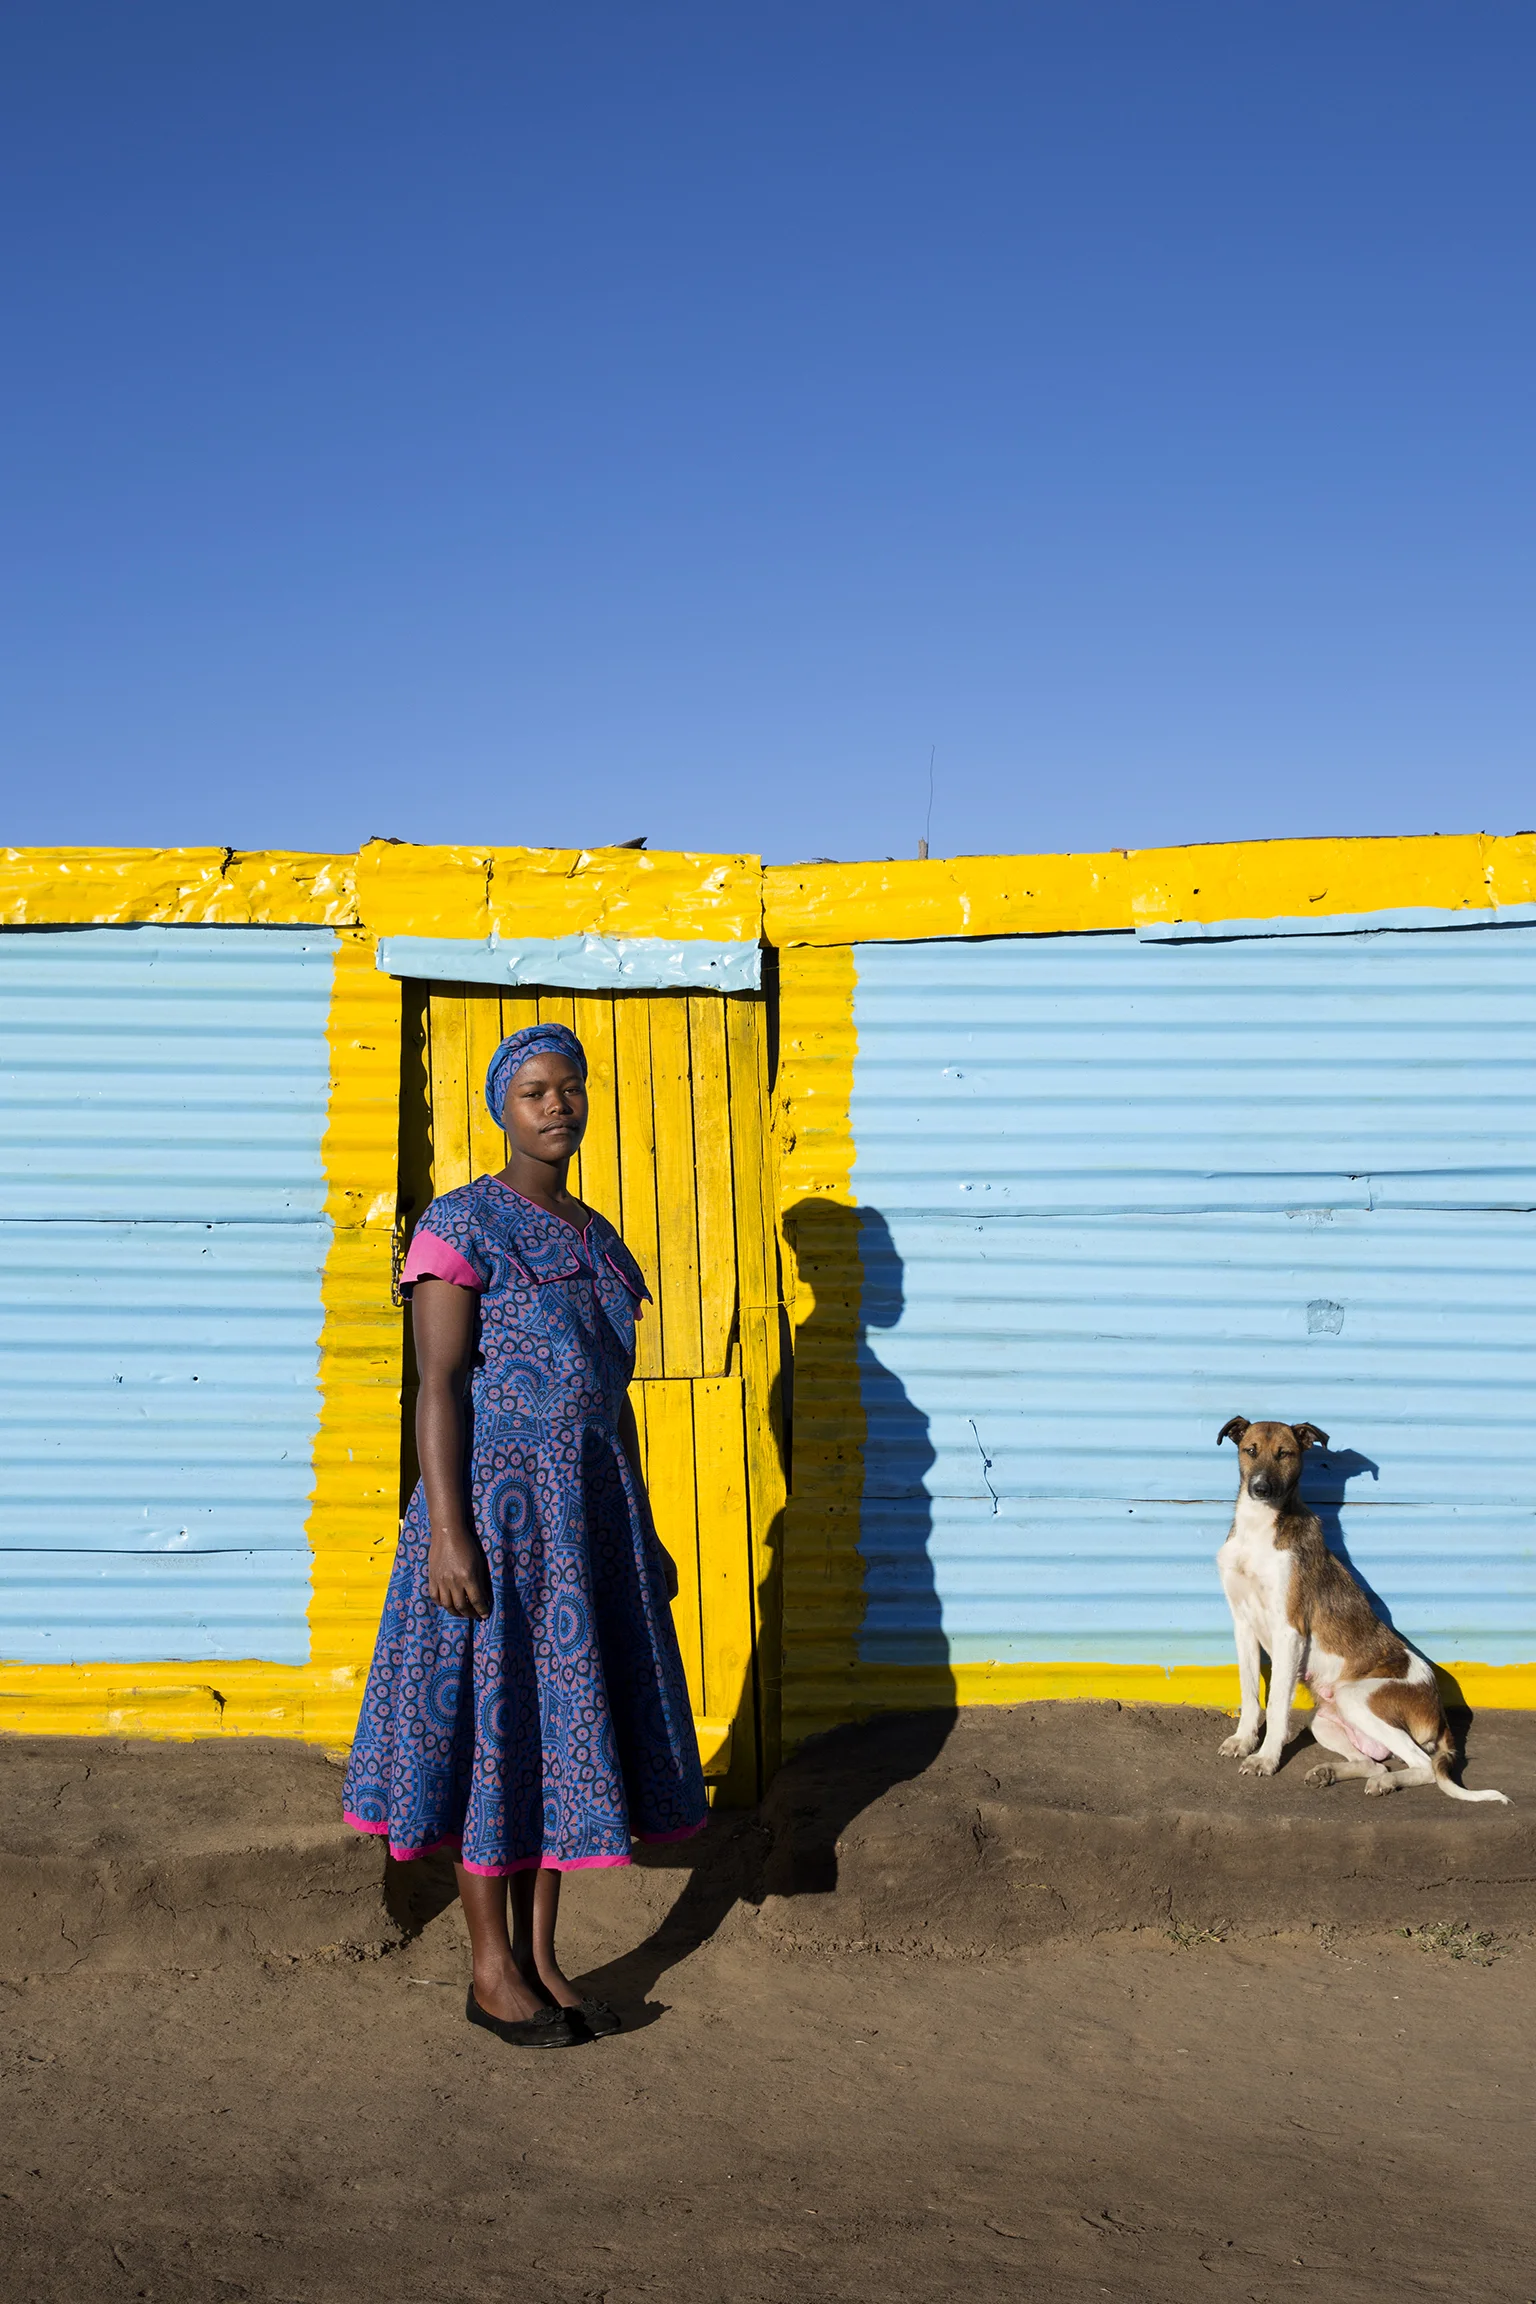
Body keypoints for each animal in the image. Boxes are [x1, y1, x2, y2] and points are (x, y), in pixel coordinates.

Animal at [1215, 1410, 1510, 1806]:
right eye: (1250, 1450)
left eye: (1285, 1454)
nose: (1261, 1489)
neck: (1259, 1529)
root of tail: (1441, 1717)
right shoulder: (1243, 1623)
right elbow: (1249, 1692)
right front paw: (1244, 1740)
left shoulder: (1289, 1629)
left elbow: (1276, 1703)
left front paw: (1265, 1758)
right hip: (1324, 1720)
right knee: (1375, 1763)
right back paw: (1330, 1773)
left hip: (1357, 1697)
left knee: (1423, 1767)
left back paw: (1387, 1783)